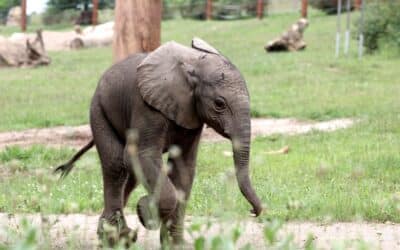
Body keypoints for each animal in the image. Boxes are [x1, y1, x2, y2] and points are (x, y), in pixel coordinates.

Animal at [56, 38, 262, 247]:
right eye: (219, 104)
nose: (253, 212)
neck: (194, 64)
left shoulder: (192, 114)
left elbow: (183, 169)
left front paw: (175, 245)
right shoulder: (147, 107)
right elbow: (141, 156)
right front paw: (145, 211)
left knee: (131, 175)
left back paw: (118, 236)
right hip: (99, 110)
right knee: (116, 165)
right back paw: (114, 240)